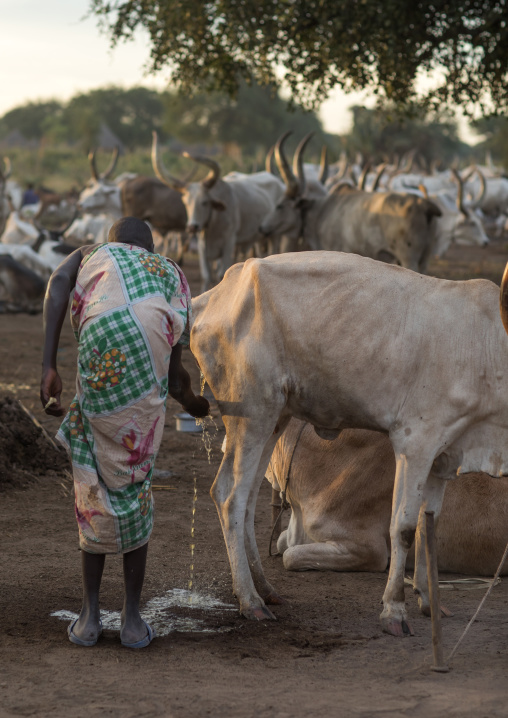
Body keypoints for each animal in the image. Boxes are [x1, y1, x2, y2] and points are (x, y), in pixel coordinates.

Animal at [152, 131, 285, 291]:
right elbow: (206, 275)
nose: (192, 227)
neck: (214, 221)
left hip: (275, 235)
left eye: (205, 202)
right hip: (259, 237)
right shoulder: (202, 247)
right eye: (185, 202)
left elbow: (223, 273)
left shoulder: (229, 242)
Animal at [259, 140, 442, 273]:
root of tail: (424, 204)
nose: (263, 228)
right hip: (424, 259)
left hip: (409, 258)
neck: (322, 211)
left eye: (279, 205)